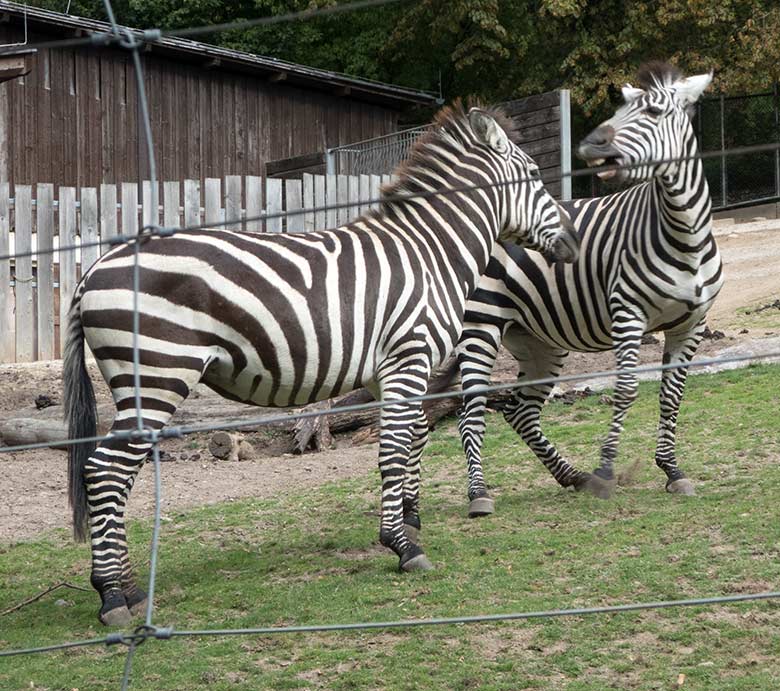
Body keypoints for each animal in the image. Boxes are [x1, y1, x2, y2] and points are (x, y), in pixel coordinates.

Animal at [65, 101, 580, 628]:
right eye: (535, 174)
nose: (573, 241)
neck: (430, 252)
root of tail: (94, 269)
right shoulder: (408, 356)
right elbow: (394, 450)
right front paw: (401, 546)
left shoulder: (387, 372)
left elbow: (412, 439)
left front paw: (411, 519)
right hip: (158, 374)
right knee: (105, 471)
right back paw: (112, 596)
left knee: (113, 473)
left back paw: (128, 589)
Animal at [454, 63, 724, 520]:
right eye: (618, 109)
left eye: (653, 111)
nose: (590, 144)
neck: (683, 234)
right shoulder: (627, 312)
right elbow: (627, 389)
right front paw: (605, 471)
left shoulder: (691, 325)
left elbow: (672, 397)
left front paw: (672, 470)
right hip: (481, 325)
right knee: (471, 411)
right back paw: (478, 494)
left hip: (538, 340)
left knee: (521, 411)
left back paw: (570, 476)